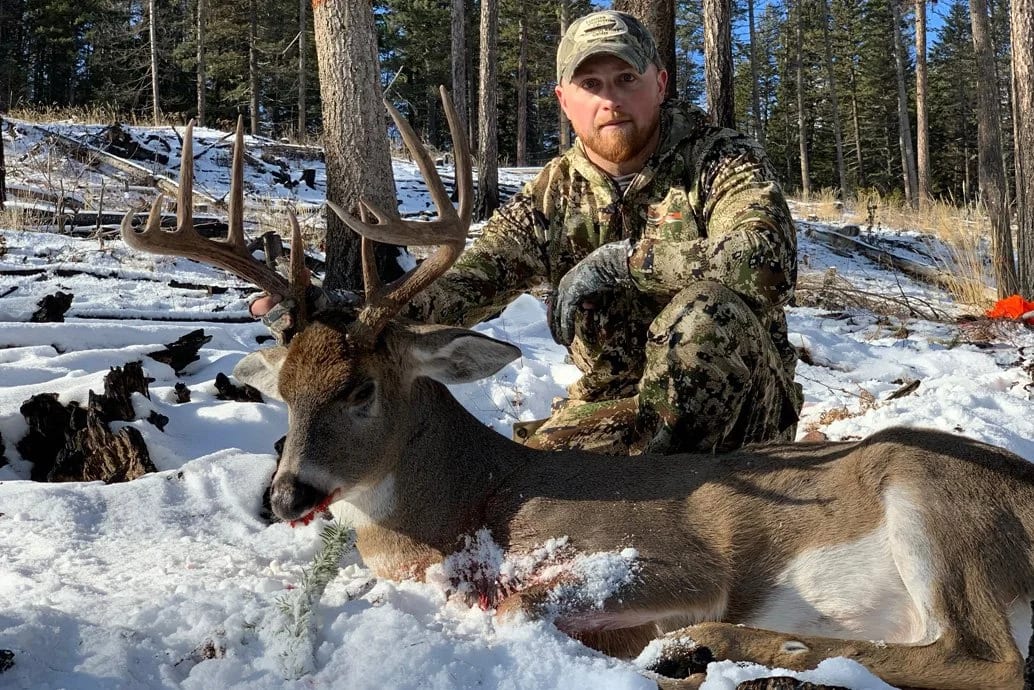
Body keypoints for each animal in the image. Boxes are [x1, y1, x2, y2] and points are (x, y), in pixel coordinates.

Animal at [121, 89, 1034, 690]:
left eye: (360, 391)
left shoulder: (669, 560)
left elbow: (523, 601)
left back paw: (711, 646)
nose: (283, 495)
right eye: (285, 390)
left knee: (986, 658)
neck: (468, 499)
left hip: (933, 498)